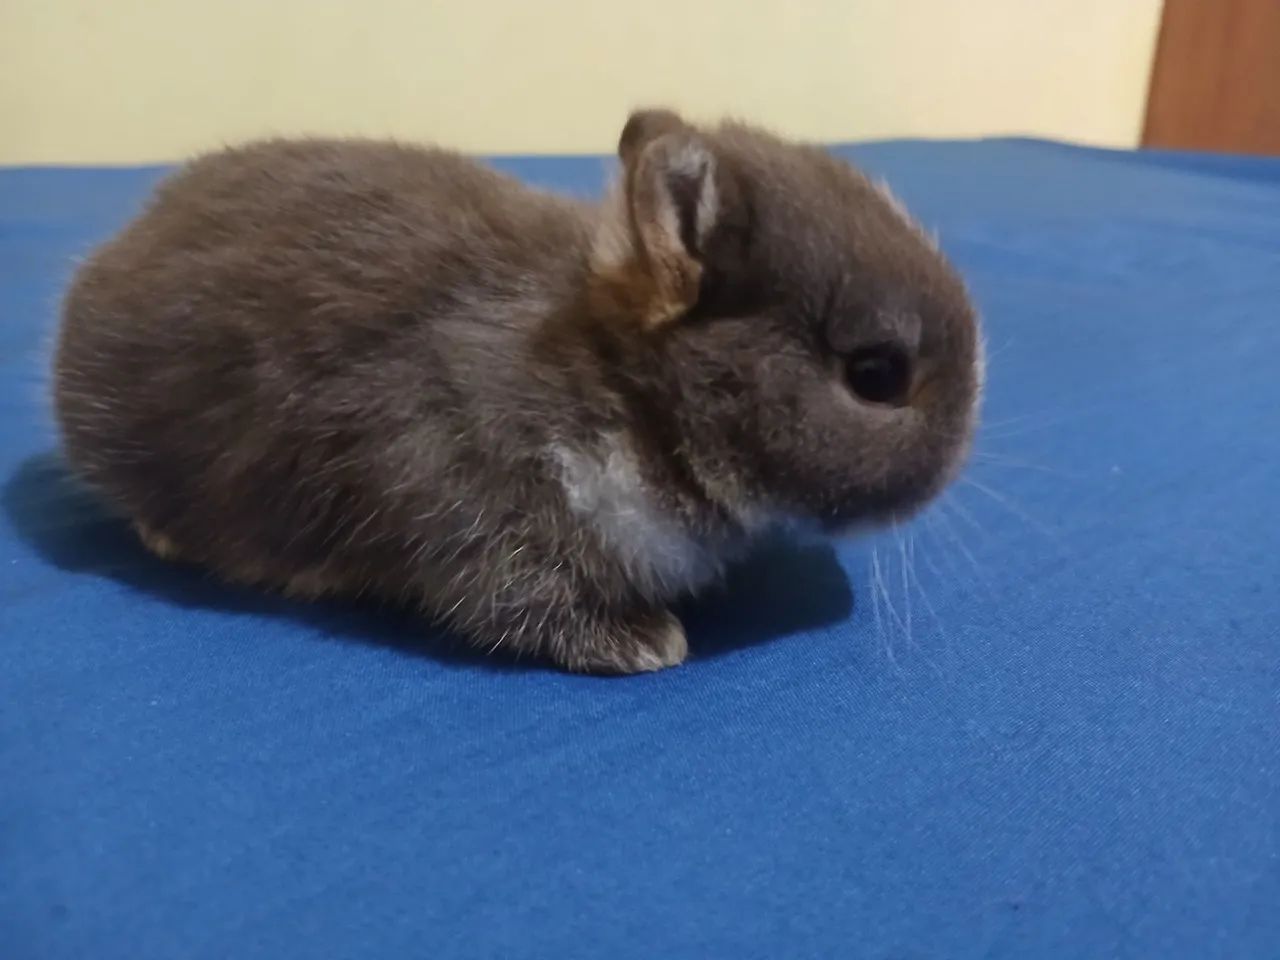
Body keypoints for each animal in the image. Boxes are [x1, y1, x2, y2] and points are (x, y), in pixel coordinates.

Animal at [53, 108, 982, 674]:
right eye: (875, 376)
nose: (961, 455)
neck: (625, 393)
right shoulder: (472, 492)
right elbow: (517, 603)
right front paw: (647, 642)